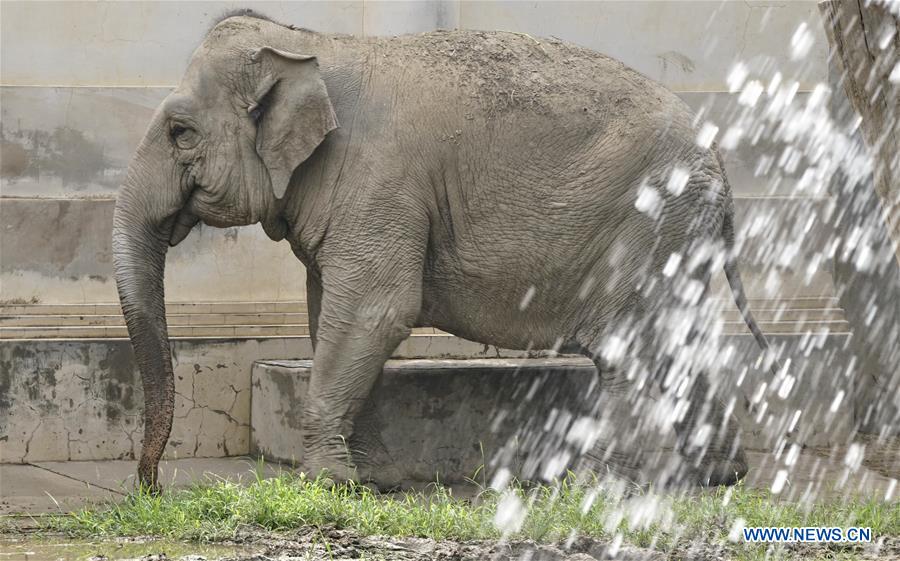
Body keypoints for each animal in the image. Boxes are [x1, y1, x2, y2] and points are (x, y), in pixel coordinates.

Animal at [112, 10, 776, 488]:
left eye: (180, 132)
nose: (152, 487)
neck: (313, 44)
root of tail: (719, 162)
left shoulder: (380, 183)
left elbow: (375, 310)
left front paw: (326, 483)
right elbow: (329, 313)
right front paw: (367, 478)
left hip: (651, 218)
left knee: (629, 347)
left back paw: (594, 485)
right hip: (677, 234)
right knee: (681, 337)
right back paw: (718, 476)